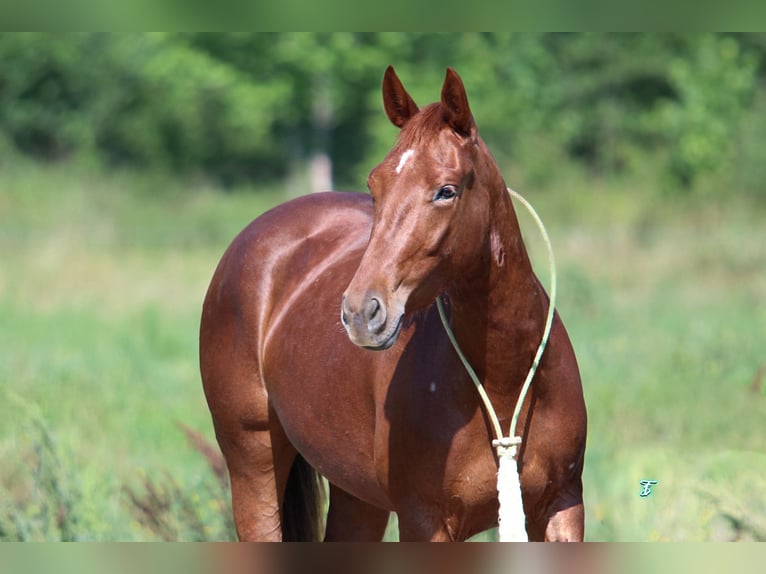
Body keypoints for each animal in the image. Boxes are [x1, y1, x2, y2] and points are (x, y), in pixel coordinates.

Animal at [200, 67, 588, 544]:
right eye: (374, 185)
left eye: (446, 191)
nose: (360, 313)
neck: (506, 379)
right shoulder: (424, 521)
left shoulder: (562, 506)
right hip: (253, 465)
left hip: (356, 495)